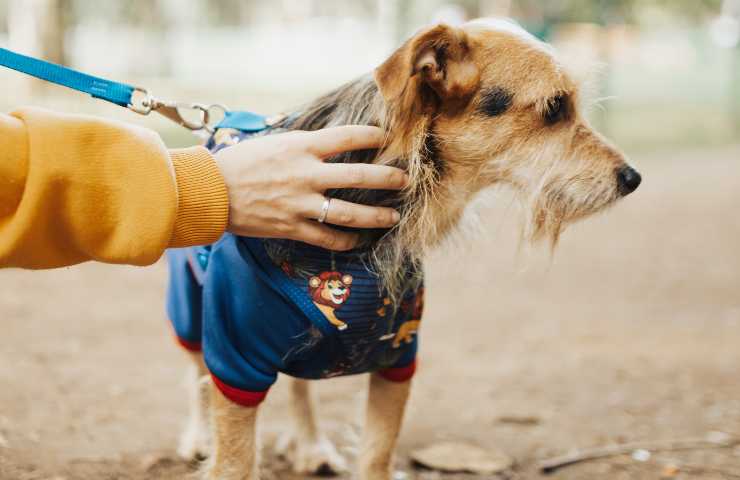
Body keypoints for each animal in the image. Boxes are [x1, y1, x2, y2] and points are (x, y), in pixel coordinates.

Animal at [165, 18, 640, 480]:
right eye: (555, 107)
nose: (633, 178)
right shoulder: (235, 360)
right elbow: (234, 459)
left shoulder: (397, 354)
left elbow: (377, 454)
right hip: (190, 309)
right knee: (195, 371)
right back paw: (199, 438)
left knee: (300, 384)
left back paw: (312, 446)